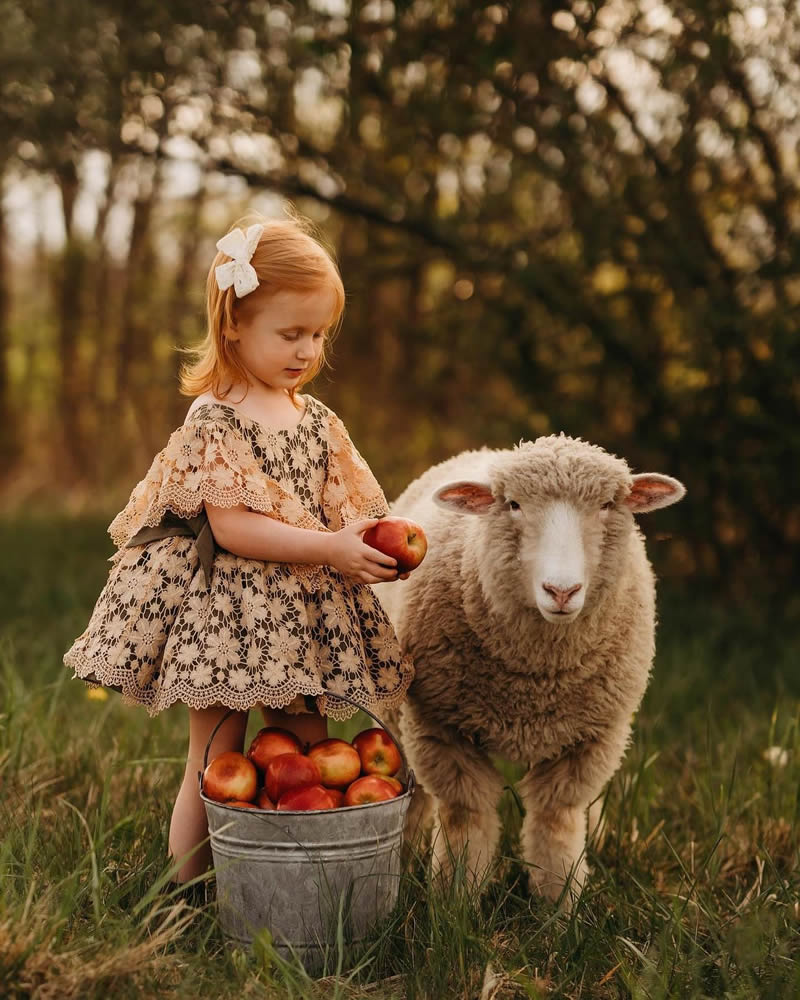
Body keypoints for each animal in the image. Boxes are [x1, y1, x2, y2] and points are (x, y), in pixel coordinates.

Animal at [372, 434, 684, 904]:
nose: (561, 590)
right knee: (417, 795)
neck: (537, 679)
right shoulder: (441, 727)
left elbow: (557, 820)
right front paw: (455, 901)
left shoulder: (593, 738)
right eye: (514, 504)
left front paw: (561, 906)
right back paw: (403, 857)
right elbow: (466, 815)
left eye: (608, 505)